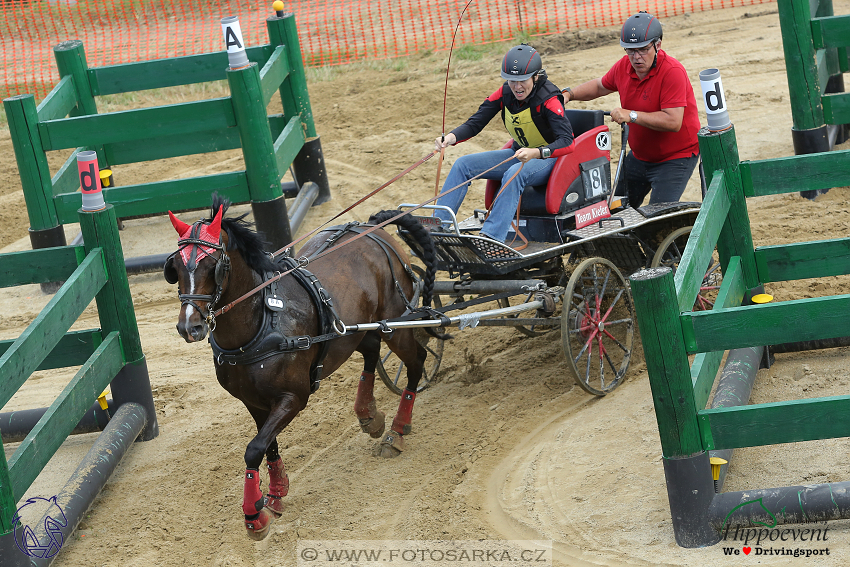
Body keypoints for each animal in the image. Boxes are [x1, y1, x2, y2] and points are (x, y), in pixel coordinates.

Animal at [163, 196, 438, 540]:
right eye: (174, 267)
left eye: (212, 265)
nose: (189, 327)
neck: (262, 323)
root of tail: (372, 229)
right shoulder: (253, 401)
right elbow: (268, 445)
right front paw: (277, 492)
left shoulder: (293, 398)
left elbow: (254, 448)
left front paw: (254, 515)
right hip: (352, 331)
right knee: (372, 351)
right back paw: (368, 414)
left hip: (396, 325)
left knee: (416, 363)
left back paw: (397, 431)